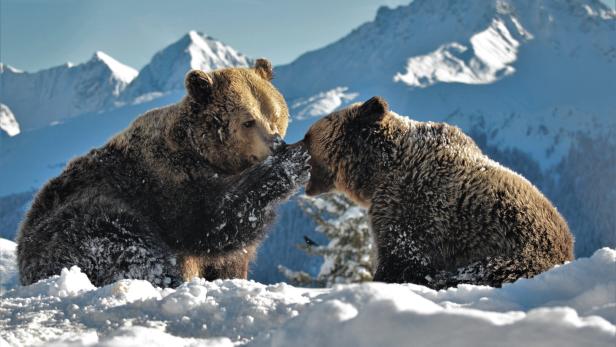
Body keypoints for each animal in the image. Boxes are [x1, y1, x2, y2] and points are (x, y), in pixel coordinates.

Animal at [16, 59, 310, 288]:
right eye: (248, 121)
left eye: (275, 115)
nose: (276, 144)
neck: (207, 155)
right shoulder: (169, 182)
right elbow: (213, 219)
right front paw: (299, 158)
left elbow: (233, 258)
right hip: (83, 221)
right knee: (127, 249)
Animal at [306, 96, 576, 290]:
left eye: (308, 136)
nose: (297, 141)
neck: (377, 173)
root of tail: (567, 244)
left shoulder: (412, 208)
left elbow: (402, 260)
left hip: (516, 252)